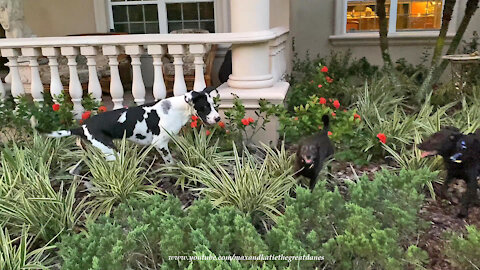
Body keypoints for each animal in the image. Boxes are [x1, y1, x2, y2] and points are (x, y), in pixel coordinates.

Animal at [47, 86, 219, 163]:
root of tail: (82, 127)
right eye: (205, 107)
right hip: (112, 152)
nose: (218, 119)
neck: (175, 108)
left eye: (213, 104)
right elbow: (169, 162)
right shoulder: (160, 144)